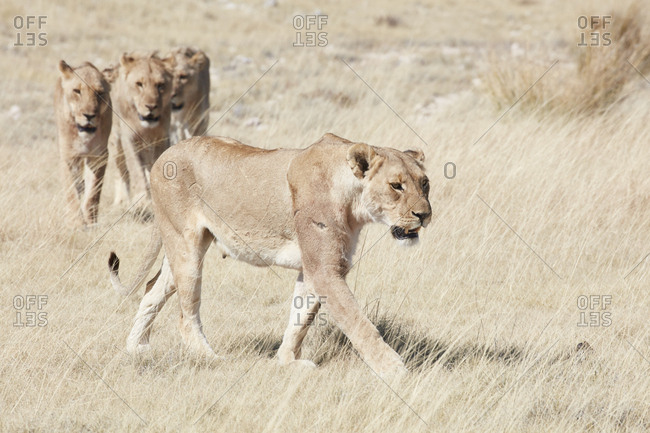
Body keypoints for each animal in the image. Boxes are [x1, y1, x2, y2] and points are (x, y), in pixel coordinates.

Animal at [55, 60, 112, 226]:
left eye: (99, 93)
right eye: (77, 91)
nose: (89, 116)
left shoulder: (99, 156)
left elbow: (93, 192)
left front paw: (91, 221)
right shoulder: (68, 157)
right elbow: (71, 192)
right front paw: (76, 223)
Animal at [106, 52, 175, 208]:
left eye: (160, 85)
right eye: (139, 84)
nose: (151, 106)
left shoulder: (162, 137)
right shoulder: (129, 138)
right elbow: (136, 168)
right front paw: (143, 200)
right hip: (115, 142)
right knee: (121, 170)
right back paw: (121, 200)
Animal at [108, 133, 432, 378]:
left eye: (425, 183)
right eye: (396, 186)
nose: (425, 215)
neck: (353, 202)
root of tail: (164, 154)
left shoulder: (314, 268)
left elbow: (299, 320)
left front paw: (288, 362)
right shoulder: (324, 269)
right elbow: (359, 323)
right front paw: (394, 369)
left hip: (179, 247)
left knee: (151, 289)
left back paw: (136, 348)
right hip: (187, 247)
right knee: (185, 317)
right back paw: (212, 360)